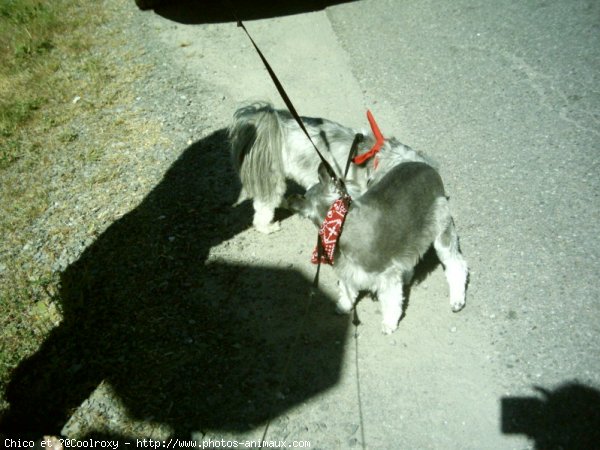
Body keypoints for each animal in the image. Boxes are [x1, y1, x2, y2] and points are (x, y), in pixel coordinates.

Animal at [290, 162, 468, 334]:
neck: (340, 223)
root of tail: (429, 168)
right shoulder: (347, 268)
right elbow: (347, 288)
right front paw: (344, 306)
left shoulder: (385, 273)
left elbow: (391, 301)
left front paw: (389, 323)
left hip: (441, 229)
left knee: (456, 264)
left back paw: (457, 300)